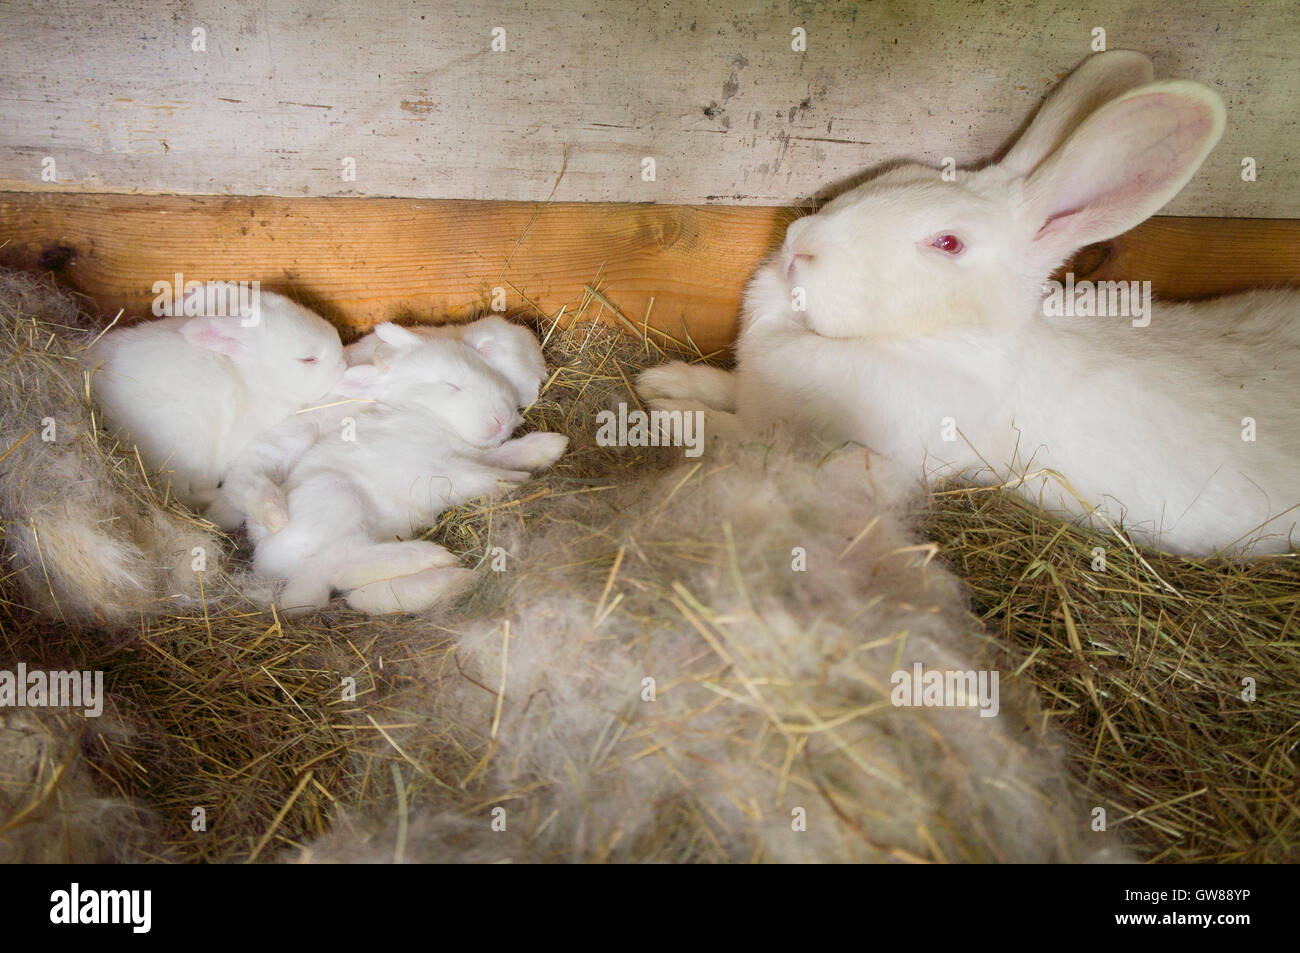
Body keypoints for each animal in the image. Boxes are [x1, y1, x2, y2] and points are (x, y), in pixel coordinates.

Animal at [638, 50, 1300, 557]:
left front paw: (667, 416)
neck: (935, 339)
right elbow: (726, 387)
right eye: (897, 173)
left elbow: (749, 439)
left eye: (948, 243)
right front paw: (662, 382)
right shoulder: (756, 389)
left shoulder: (878, 457)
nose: (800, 244)